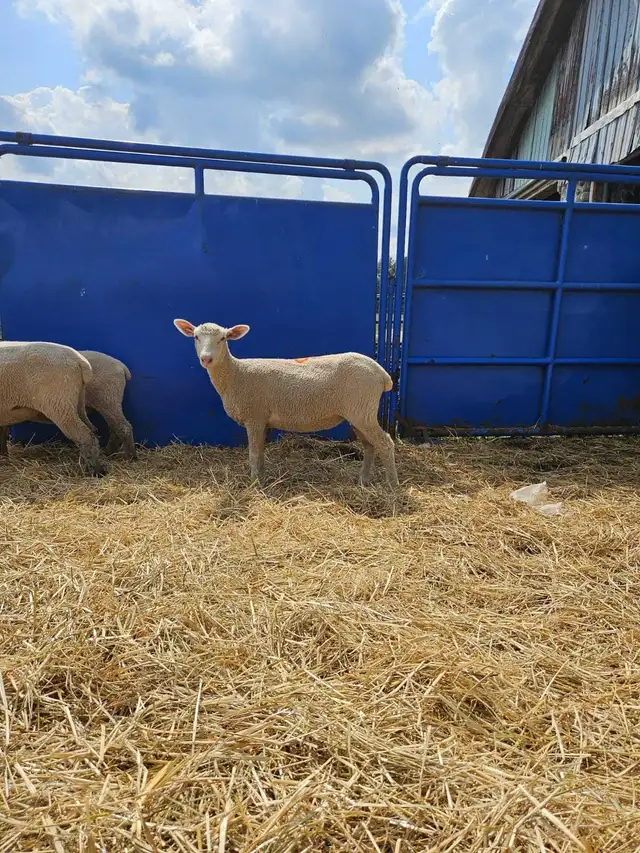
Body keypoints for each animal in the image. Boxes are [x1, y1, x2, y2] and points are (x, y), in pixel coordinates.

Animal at [0, 341, 106, 476]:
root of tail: (79, 360)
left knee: (85, 435)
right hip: (77, 401)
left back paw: (96, 471)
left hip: (59, 405)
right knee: (92, 430)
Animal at [0, 349, 136, 461]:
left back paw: (129, 457)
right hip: (109, 402)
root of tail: (121, 366)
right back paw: (110, 452)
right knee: (115, 428)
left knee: (123, 427)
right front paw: (4, 455)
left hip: (107, 399)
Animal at [173, 319, 398, 486]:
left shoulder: (254, 416)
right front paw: (262, 477)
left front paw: (254, 484)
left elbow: (253, 454)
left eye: (222, 338)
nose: (206, 359)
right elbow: (260, 453)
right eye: (196, 337)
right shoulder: (263, 422)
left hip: (362, 410)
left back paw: (391, 486)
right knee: (370, 446)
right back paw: (363, 481)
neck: (236, 374)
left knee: (385, 443)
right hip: (358, 412)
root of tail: (382, 374)